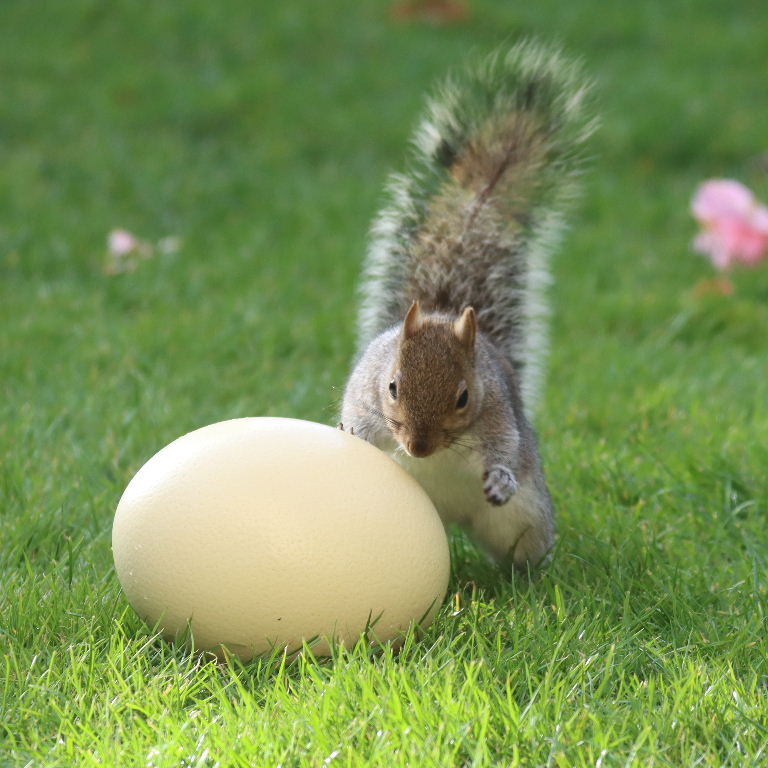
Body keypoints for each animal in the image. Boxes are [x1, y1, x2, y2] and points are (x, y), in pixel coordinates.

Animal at [340, 41, 594, 572]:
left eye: (463, 397)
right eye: (392, 386)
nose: (417, 449)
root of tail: (446, 516)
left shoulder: (497, 414)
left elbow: (503, 448)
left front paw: (499, 477)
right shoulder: (365, 391)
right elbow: (357, 413)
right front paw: (350, 431)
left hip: (525, 517)